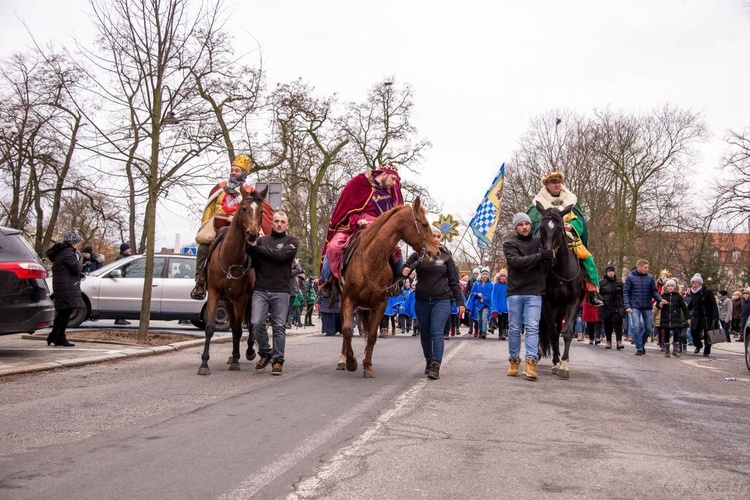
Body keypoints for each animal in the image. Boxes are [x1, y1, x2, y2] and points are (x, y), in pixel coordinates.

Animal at [198, 186, 268, 374]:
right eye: (243, 208)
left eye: (261, 211)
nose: (252, 234)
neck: (230, 259)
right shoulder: (215, 293)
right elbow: (210, 327)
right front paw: (204, 363)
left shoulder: (242, 297)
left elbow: (238, 328)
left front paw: (238, 358)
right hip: (229, 301)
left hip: (249, 299)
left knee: (249, 324)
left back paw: (248, 351)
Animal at [336, 197, 438, 376]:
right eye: (425, 224)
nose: (436, 252)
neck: (371, 260)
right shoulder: (348, 299)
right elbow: (347, 330)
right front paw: (351, 361)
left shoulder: (380, 304)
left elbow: (371, 335)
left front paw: (367, 365)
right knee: (344, 329)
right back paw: (343, 359)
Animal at [536, 201, 592, 376]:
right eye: (541, 228)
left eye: (560, 228)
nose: (548, 256)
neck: (561, 271)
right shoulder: (547, 304)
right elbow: (553, 333)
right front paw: (555, 362)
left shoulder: (573, 303)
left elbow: (566, 332)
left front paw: (564, 364)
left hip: (560, 310)